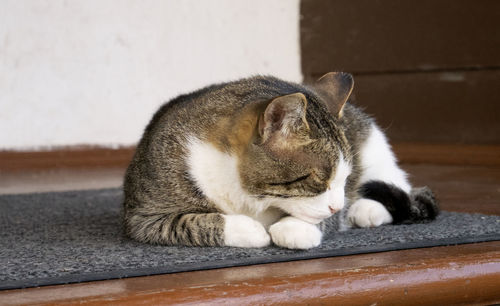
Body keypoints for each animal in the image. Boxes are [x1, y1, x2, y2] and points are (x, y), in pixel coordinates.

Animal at [123, 73, 440, 250]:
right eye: (318, 180)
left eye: (345, 178)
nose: (338, 206)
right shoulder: (144, 217)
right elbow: (191, 223)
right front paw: (250, 230)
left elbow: (316, 221)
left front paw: (293, 228)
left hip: (375, 146)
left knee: (400, 186)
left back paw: (365, 209)